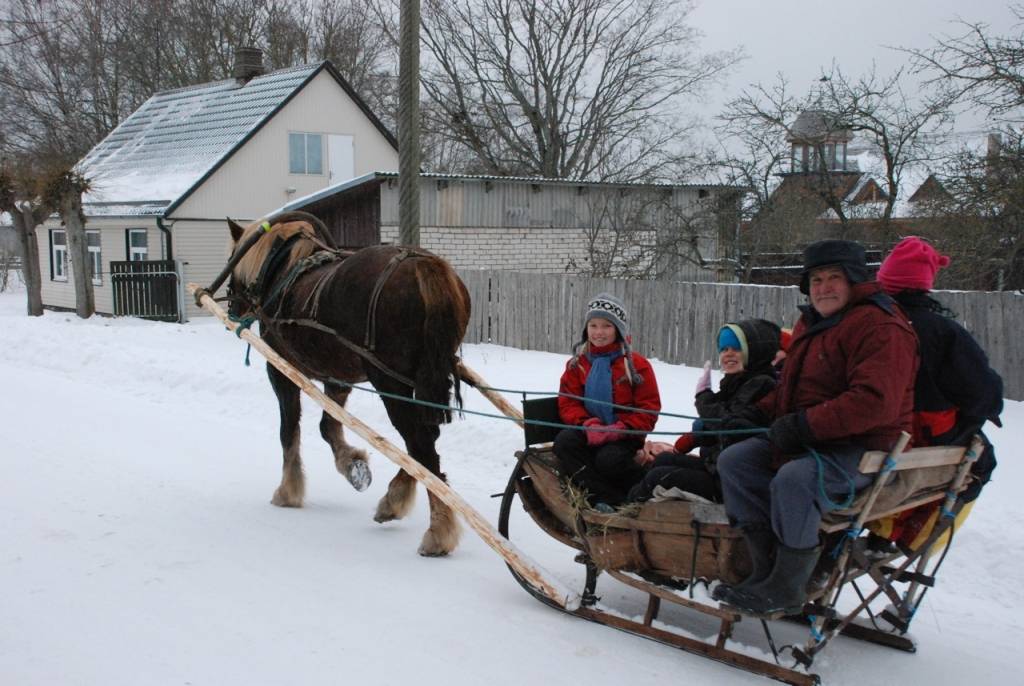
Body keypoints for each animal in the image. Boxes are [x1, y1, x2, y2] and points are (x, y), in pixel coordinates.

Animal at [224, 216, 471, 556]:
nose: (233, 308)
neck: (281, 269)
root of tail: (423, 265)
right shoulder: (337, 380)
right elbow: (328, 427)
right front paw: (354, 465)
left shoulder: (281, 370)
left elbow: (289, 432)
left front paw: (288, 491)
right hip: (419, 380)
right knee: (421, 444)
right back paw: (394, 499)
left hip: (389, 380)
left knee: (420, 445)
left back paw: (438, 531)